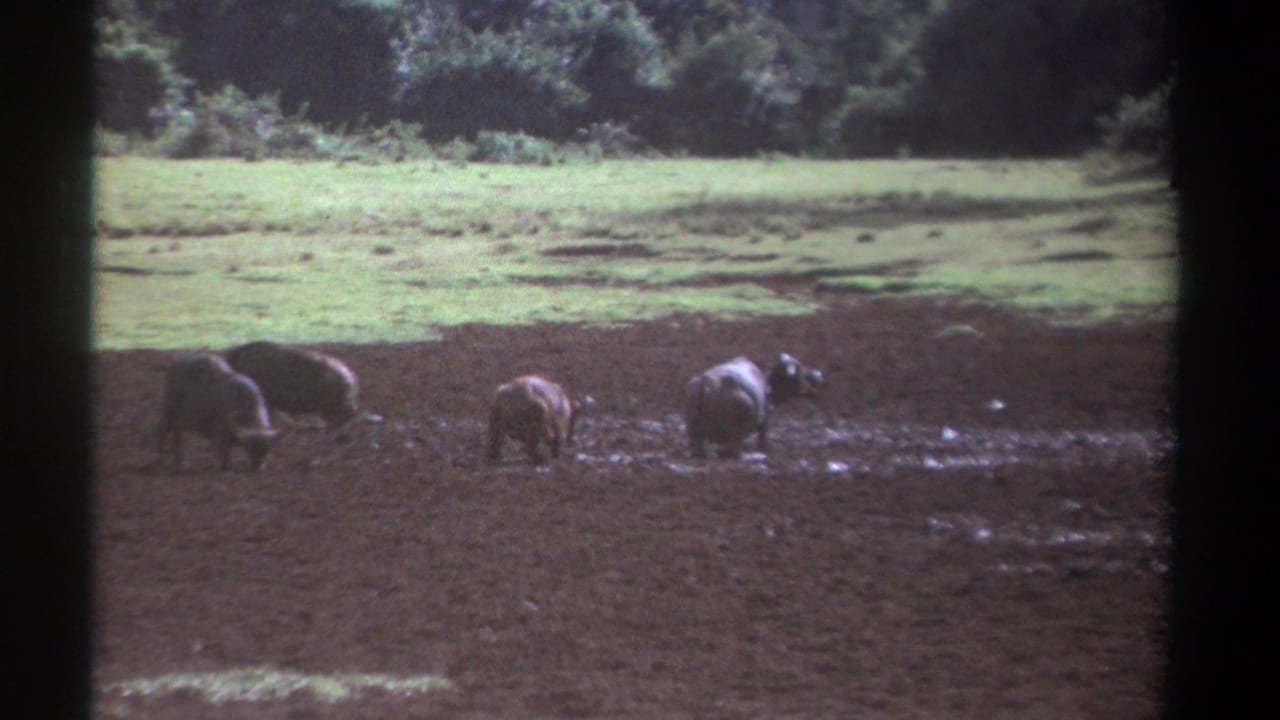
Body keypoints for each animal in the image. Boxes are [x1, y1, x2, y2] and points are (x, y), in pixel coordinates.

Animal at [685, 353, 824, 458]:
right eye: (800, 372)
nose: (818, 375)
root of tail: (706, 384)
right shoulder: (766, 418)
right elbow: (763, 438)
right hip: (737, 421)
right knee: (733, 446)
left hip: (693, 425)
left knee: (696, 443)